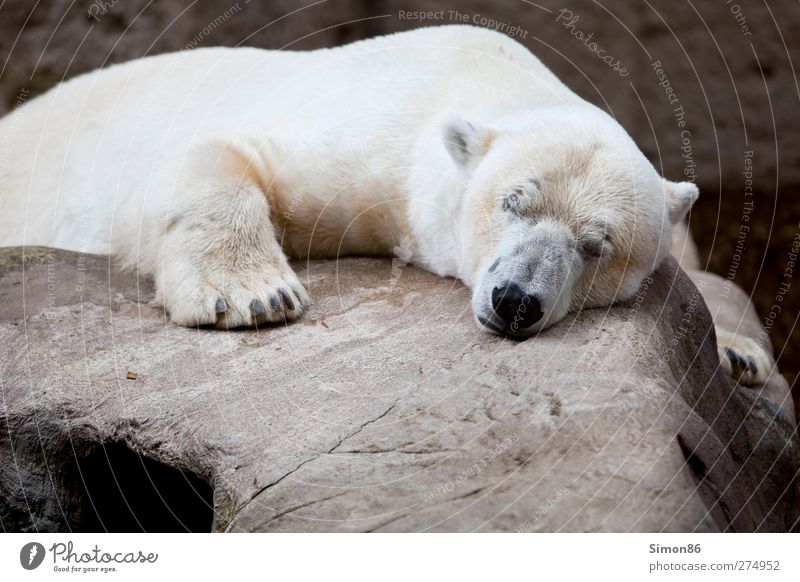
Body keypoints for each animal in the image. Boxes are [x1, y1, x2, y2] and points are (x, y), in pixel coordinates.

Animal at [0, 24, 776, 388]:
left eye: (597, 245)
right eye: (511, 202)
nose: (515, 300)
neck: (472, 76)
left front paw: (738, 354)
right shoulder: (371, 139)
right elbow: (213, 152)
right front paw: (255, 296)